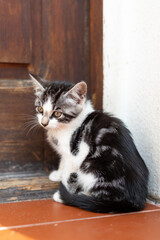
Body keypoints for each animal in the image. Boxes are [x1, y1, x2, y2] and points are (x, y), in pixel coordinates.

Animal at [30, 73, 149, 214]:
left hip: (94, 168)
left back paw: (79, 197)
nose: (44, 123)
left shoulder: (75, 154)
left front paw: (65, 191)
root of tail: (137, 201)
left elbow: (69, 172)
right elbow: (63, 162)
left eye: (57, 113)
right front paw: (58, 174)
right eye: (40, 109)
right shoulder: (66, 153)